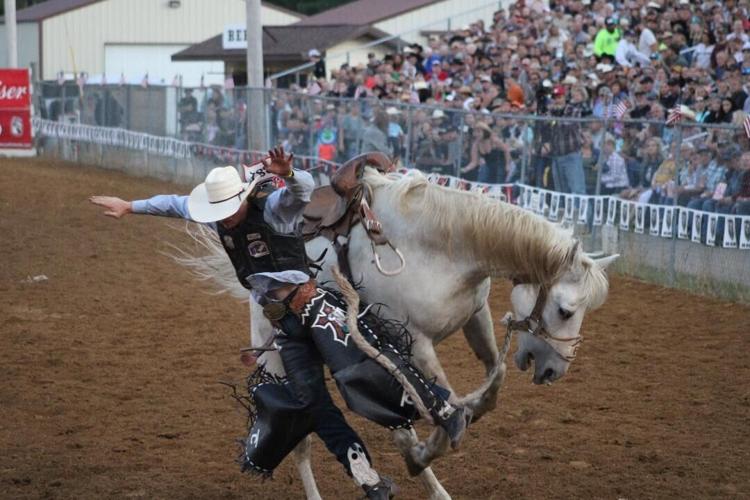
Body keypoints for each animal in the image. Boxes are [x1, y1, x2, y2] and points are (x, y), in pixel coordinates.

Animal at [181, 169, 616, 500]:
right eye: (565, 310)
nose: (554, 370)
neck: (443, 248)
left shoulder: (476, 316)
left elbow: (492, 381)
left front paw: (469, 413)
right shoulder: (416, 343)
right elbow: (445, 405)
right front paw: (426, 450)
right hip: (274, 355)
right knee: (303, 435)